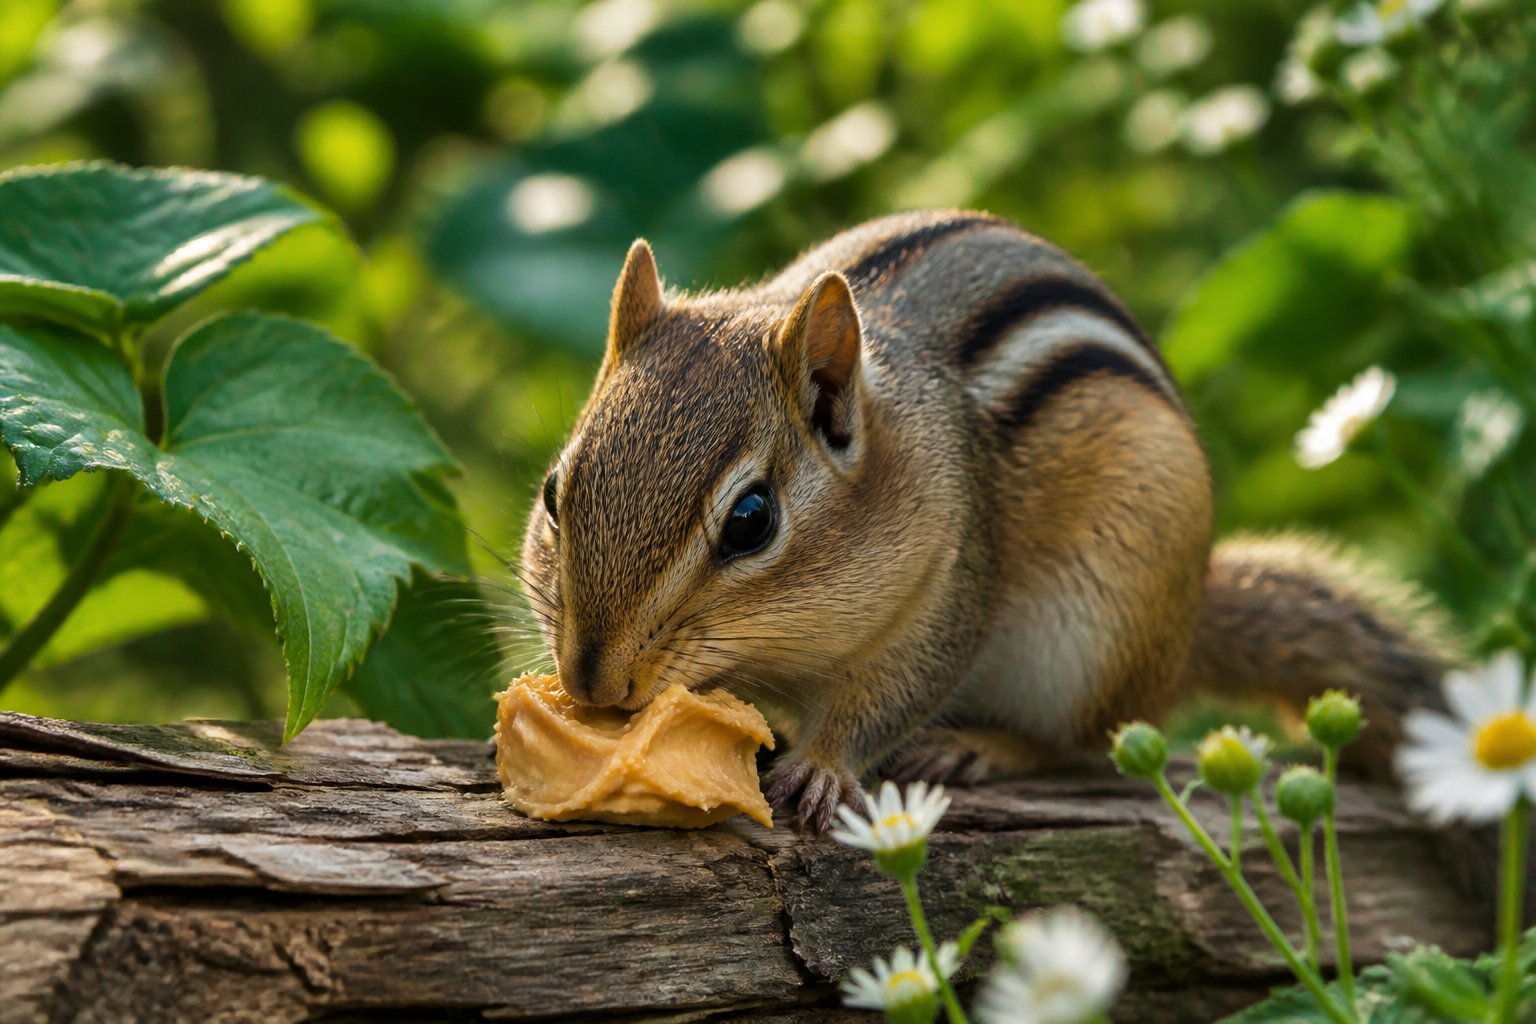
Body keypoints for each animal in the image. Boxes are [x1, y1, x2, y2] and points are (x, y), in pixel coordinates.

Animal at [519, 209, 1454, 835]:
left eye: (751, 520)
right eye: (555, 491)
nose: (590, 684)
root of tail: (1185, 630)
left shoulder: (949, 579)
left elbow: (896, 693)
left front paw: (821, 768)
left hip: (1096, 637)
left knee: (1092, 740)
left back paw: (983, 747)